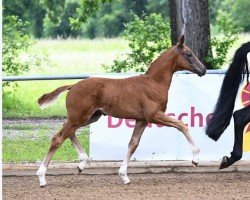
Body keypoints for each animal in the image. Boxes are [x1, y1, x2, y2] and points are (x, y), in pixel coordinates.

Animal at [36, 35, 206, 187]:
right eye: (189, 53)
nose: (203, 70)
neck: (154, 83)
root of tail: (72, 86)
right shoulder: (154, 116)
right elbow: (181, 125)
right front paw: (195, 158)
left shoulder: (142, 120)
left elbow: (133, 144)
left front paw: (124, 176)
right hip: (80, 117)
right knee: (58, 138)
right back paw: (42, 177)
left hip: (89, 117)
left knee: (67, 132)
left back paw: (82, 163)